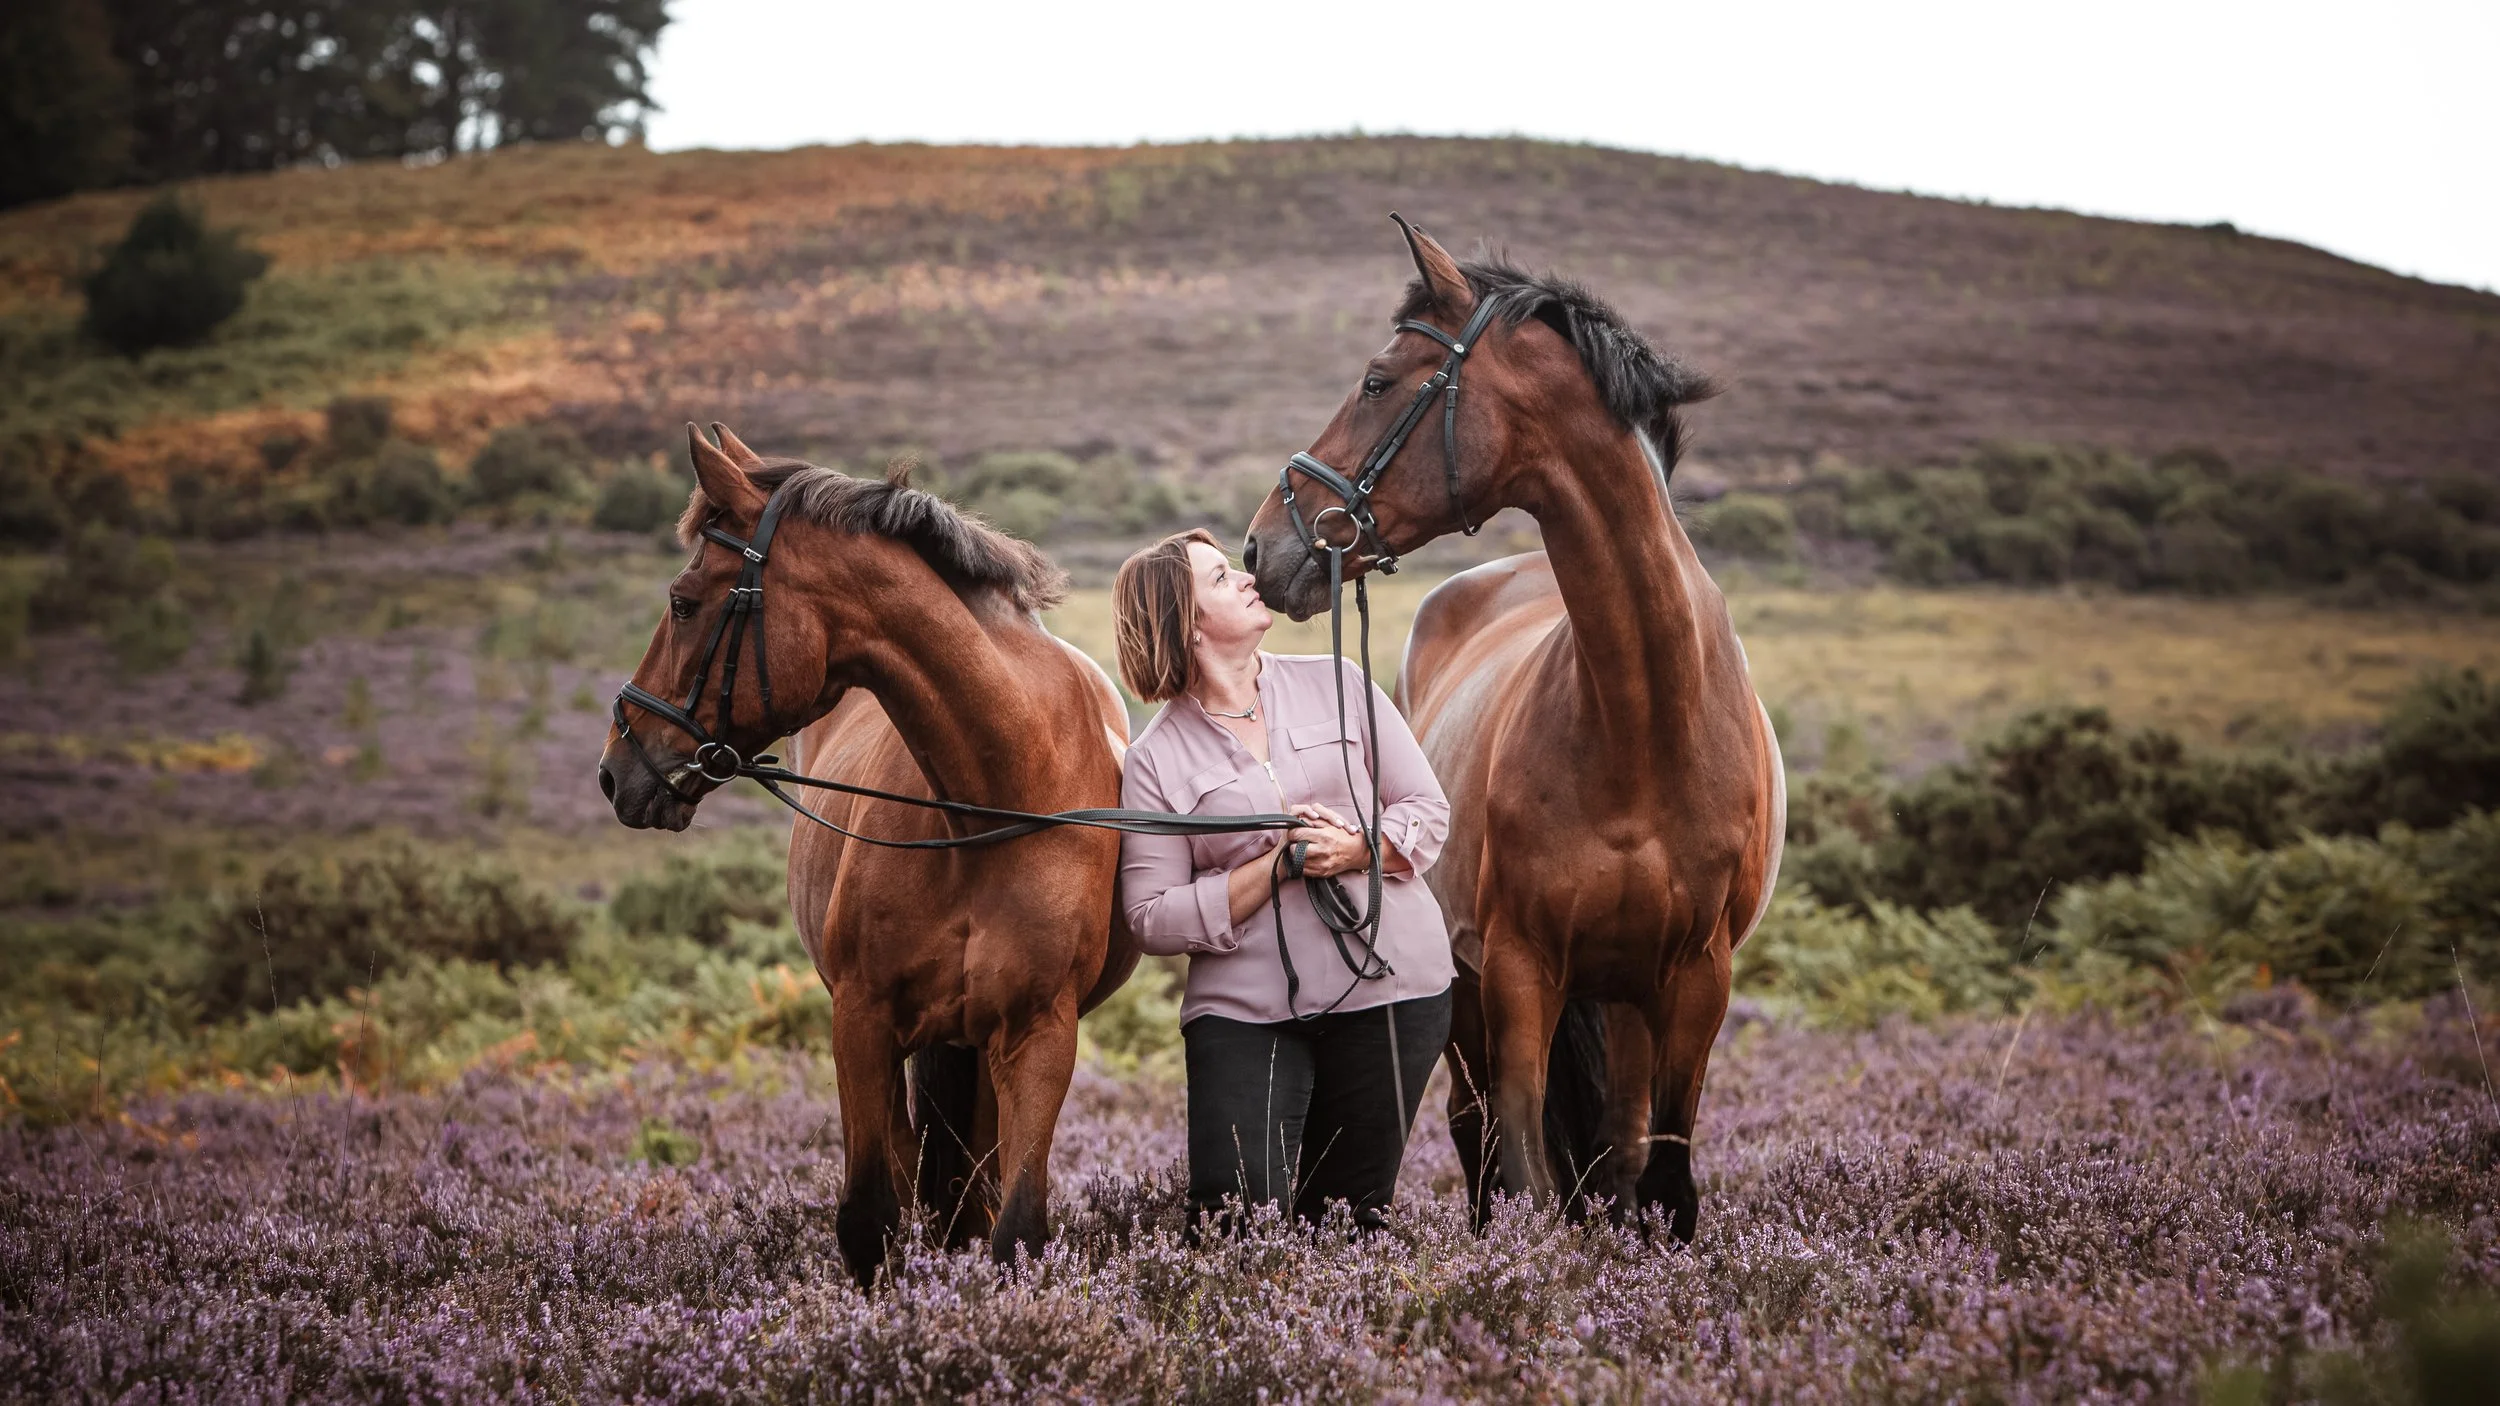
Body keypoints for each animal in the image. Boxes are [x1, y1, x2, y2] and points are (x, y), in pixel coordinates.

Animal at [599, 424, 1136, 1286]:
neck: (993, 799)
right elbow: (869, 1220)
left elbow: (1014, 1225)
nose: (618, 769)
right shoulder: (862, 1021)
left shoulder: (1039, 1035)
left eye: (683, 603)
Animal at [1242, 222, 1785, 1240]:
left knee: (1613, 1150)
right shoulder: (1519, 970)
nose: (1265, 545)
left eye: (1377, 380)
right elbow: (1528, 1170)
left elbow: (1659, 1182)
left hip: (1623, 999)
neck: (1643, 721)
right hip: (1470, 997)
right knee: (1478, 1130)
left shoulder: (1695, 983)